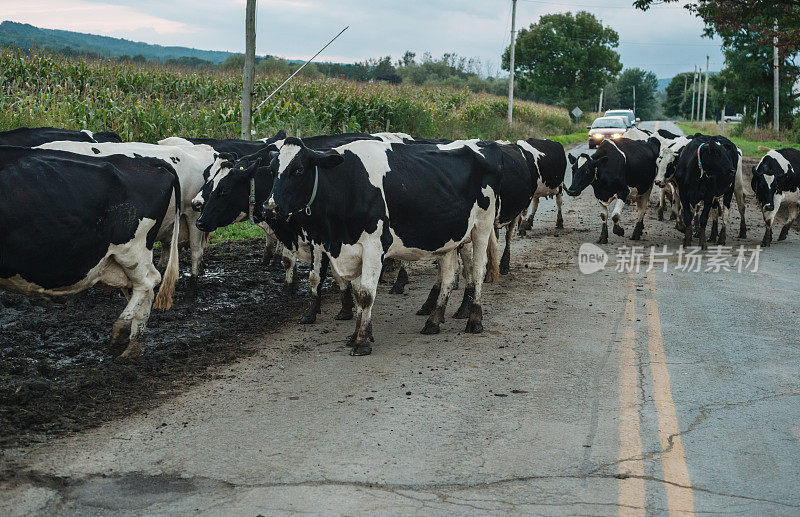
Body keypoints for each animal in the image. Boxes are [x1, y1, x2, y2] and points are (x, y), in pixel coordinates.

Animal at [0, 145, 181, 354]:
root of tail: (146, 161)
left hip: (133, 249)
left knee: (148, 282)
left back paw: (120, 333)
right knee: (142, 291)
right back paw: (131, 350)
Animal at [262, 137, 500, 354]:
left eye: (298, 170)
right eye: (272, 171)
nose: (269, 207)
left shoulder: (373, 247)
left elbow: (366, 294)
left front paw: (361, 342)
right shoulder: (351, 250)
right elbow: (357, 294)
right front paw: (356, 334)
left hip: (481, 227)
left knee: (477, 271)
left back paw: (474, 320)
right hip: (448, 238)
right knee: (449, 277)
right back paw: (433, 321)